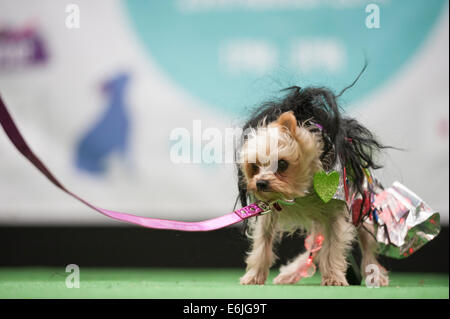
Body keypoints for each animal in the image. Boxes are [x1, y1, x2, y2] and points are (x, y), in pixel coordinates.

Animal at [239, 81, 390, 286]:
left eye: (282, 164)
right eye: (254, 166)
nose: (261, 183)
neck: (300, 193)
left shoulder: (335, 214)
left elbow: (333, 247)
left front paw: (334, 278)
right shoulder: (268, 218)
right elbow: (262, 244)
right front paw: (254, 276)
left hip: (361, 211)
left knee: (366, 248)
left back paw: (375, 276)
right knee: (315, 247)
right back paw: (292, 272)